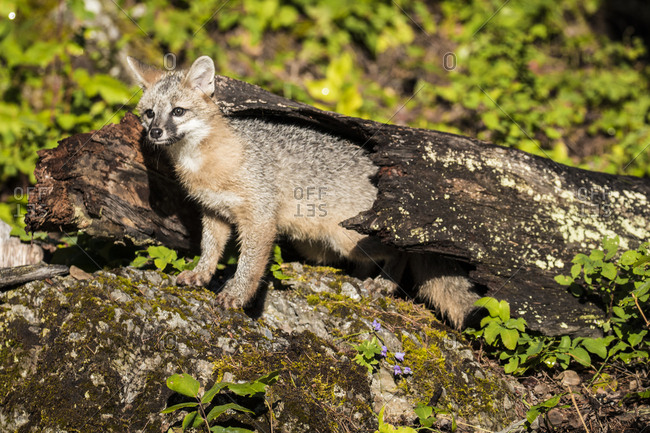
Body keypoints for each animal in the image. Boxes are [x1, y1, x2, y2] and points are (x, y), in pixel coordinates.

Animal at [126, 55, 480, 328]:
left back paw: (383, 284)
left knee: (400, 253)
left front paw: (236, 296)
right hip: (321, 245)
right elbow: (209, 251)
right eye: (149, 113)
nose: (155, 132)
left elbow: (249, 267)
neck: (208, 163)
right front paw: (200, 275)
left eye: (178, 111)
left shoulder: (260, 221)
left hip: (348, 237)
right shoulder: (215, 214)